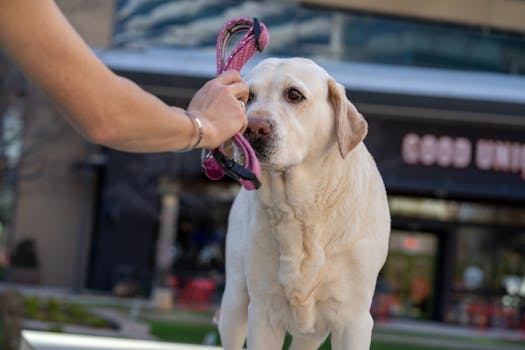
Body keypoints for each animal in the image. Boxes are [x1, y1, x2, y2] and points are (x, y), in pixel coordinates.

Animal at [217, 58, 388, 348]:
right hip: (234, 302)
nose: (253, 128)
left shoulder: (354, 320)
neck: (301, 211)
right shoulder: (263, 312)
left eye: (294, 94)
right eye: (247, 97)